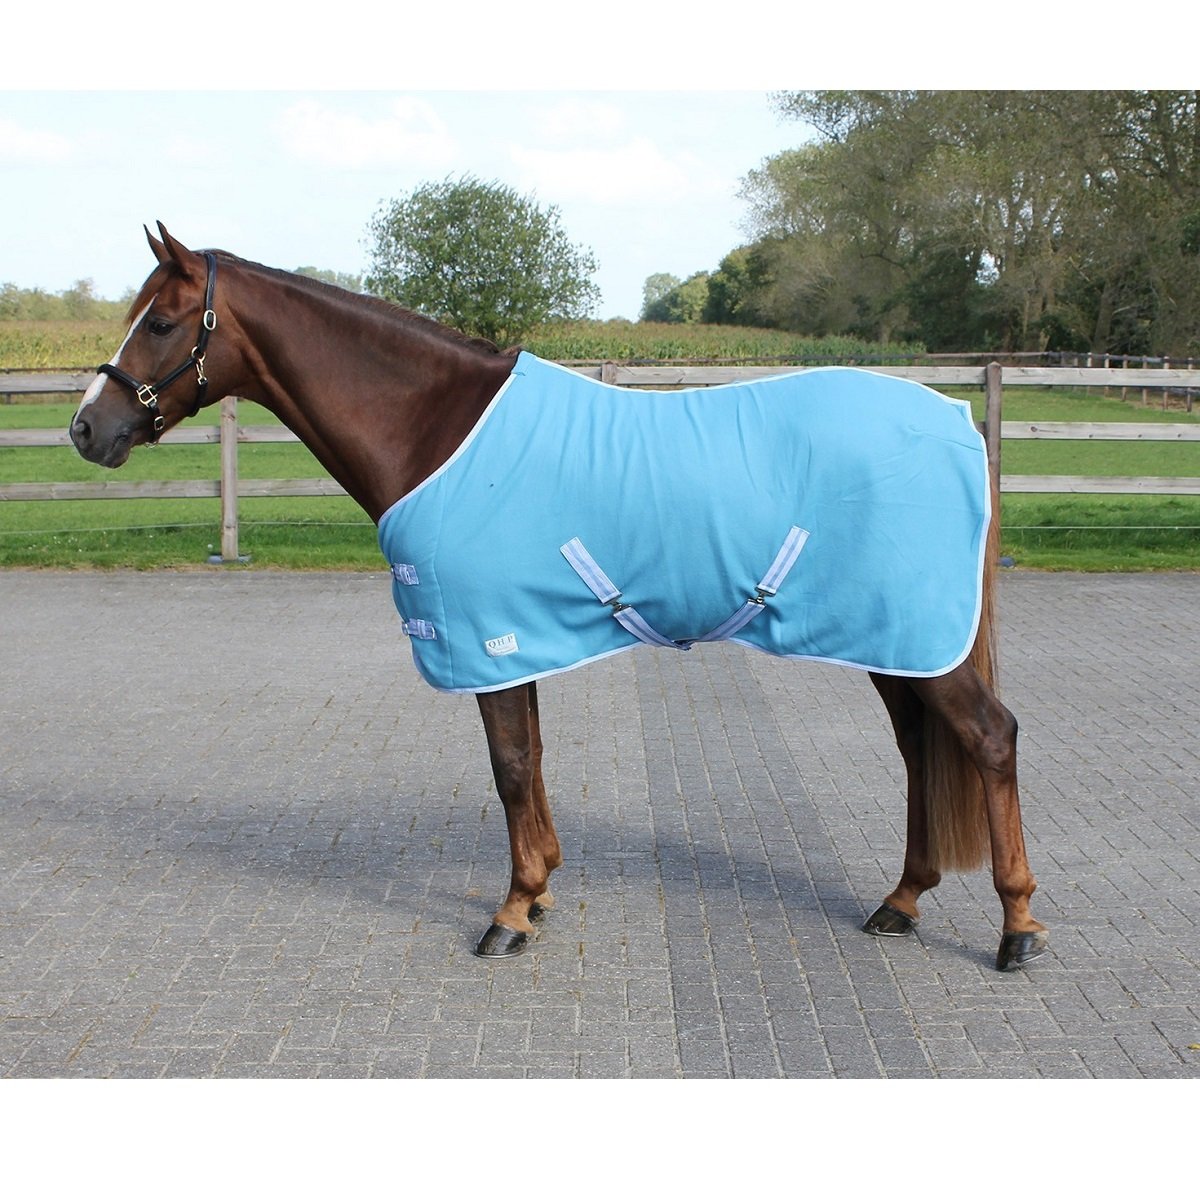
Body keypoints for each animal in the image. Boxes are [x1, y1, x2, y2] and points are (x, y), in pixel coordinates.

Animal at [69, 224, 1048, 972]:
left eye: (161, 322)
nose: (86, 429)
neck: (437, 429)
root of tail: (957, 421)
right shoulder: (514, 637)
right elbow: (530, 761)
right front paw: (537, 890)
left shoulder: (487, 635)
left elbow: (508, 767)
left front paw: (510, 914)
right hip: (897, 640)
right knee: (922, 753)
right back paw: (902, 900)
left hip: (920, 642)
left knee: (989, 739)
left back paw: (1018, 928)